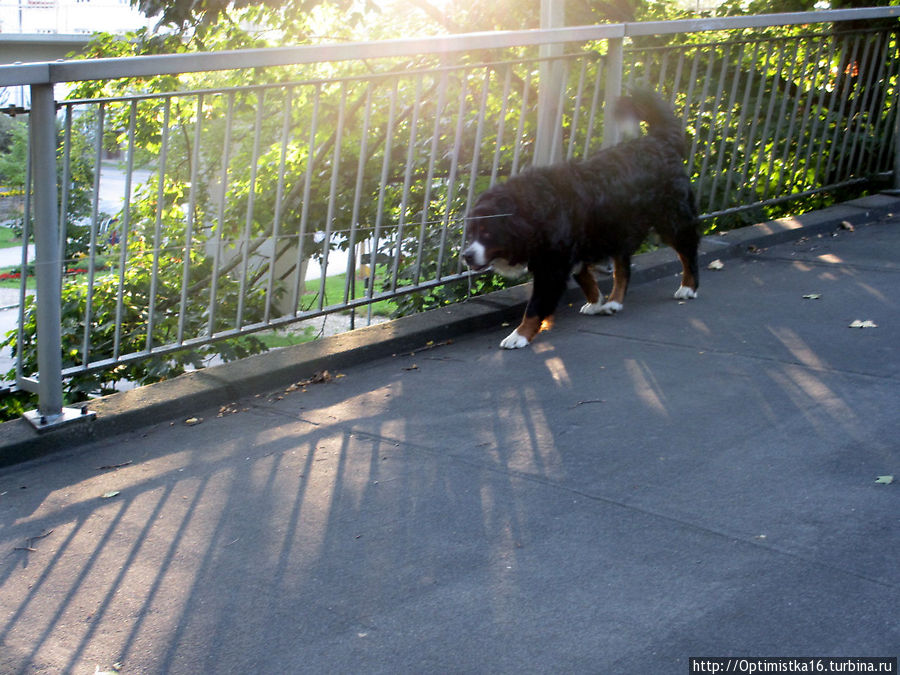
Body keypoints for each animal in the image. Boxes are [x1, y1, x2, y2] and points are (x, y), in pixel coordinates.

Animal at [460, 90, 700, 352]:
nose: (467, 255)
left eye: (487, 232)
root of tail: (659, 142)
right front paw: (596, 302)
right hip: (617, 227)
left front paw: (518, 335)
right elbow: (585, 279)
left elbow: (535, 307)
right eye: (470, 233)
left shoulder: (552, 266)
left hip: (672, 220)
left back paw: (688, 287)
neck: (533, 211)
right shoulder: (574, 250)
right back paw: (614, 302)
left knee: (688, 251)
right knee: (623, 268)